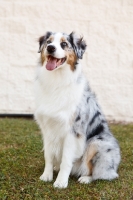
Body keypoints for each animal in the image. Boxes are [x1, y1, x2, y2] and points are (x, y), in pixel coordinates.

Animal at [34, 30, 120, 188]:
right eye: (48, 42)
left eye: (64, 44)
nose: (50, 48)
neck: (57, 80)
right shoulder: (47, 128)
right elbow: (48, 155)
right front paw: (46, 176)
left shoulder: (73, 131)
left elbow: (66, 159)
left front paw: (61, 182)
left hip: (97, 142)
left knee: (105, 174)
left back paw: (86, 178)